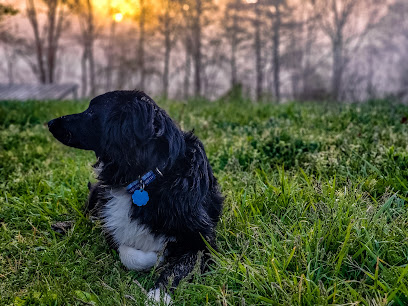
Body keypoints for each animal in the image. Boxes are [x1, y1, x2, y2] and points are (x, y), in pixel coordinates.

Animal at [49, 90, 225, 304]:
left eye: (91, 112)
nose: (50, 123)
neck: (144, 179)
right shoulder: (110, 224)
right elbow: (126, 252)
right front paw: (157, 258)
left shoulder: (202, 241)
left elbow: (177, 269)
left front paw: (158, 295)